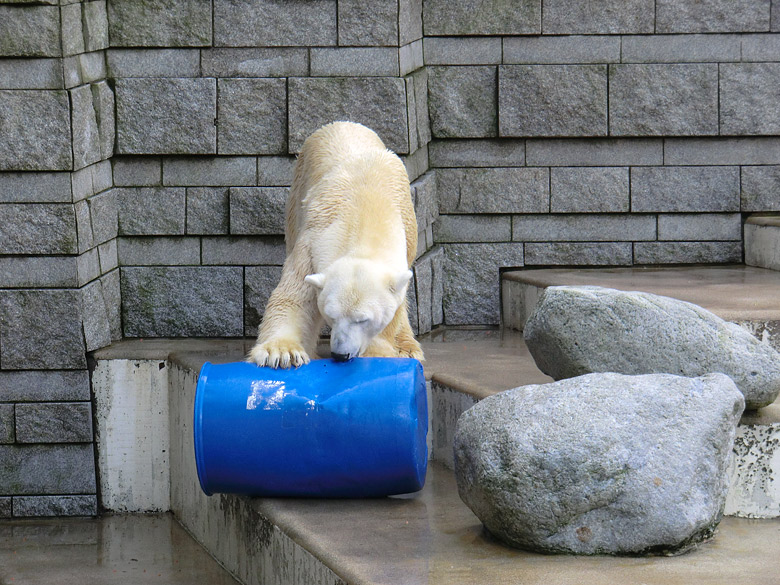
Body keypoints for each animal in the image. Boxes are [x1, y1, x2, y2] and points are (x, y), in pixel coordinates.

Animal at [248, 121, 420, 368]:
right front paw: (281, 353)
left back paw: (407, 348)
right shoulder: (311, 245)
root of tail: (343, 123)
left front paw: (380, 351)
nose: (340, 354)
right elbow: (294, 297)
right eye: (331, 314)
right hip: (297, 194)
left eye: (363, 319)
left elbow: (392, 313)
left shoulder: (405, 236)